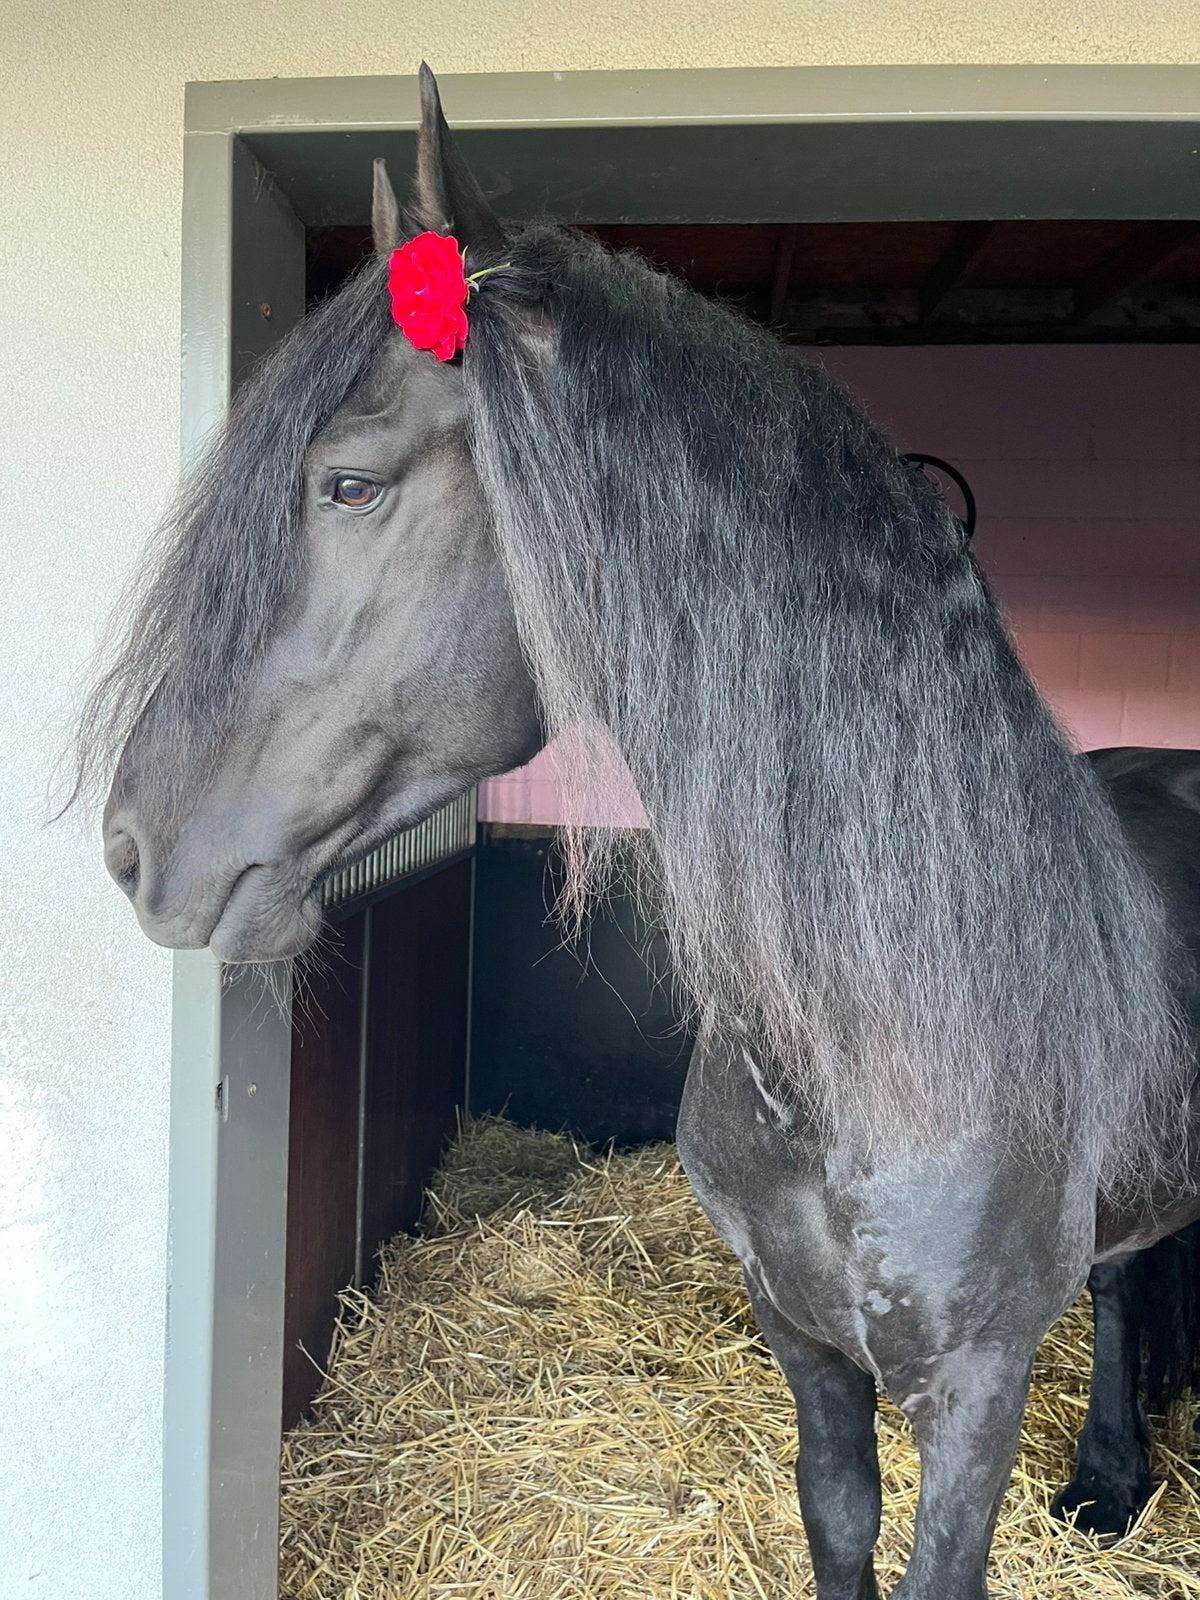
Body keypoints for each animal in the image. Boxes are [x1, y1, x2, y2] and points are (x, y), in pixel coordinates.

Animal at [77, 66, 1200, 1599]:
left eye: (349, 484)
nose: (135, 848)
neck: (879, 1030)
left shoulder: (973, 1387)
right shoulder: (800, 1336)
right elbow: (835, 1522)